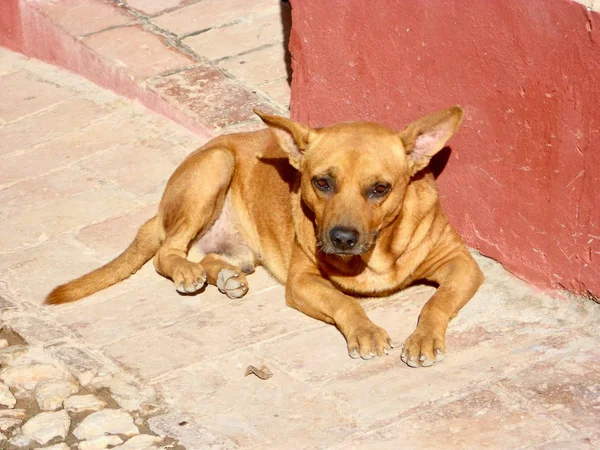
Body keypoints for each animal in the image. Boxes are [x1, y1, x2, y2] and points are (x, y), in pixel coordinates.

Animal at [45, 106, 482, 370]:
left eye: (380, 189)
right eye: (321, 182)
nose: (341, 238)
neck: (375, 253)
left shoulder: (463, 265)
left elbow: (436, 303)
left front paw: (424, 338)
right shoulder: (303, 282)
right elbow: (345, 303)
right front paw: (365, 330)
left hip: (240, 251)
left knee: (208, 257)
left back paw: (224, 277)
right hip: (215, 166)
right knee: (167, 252)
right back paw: (187, 272)